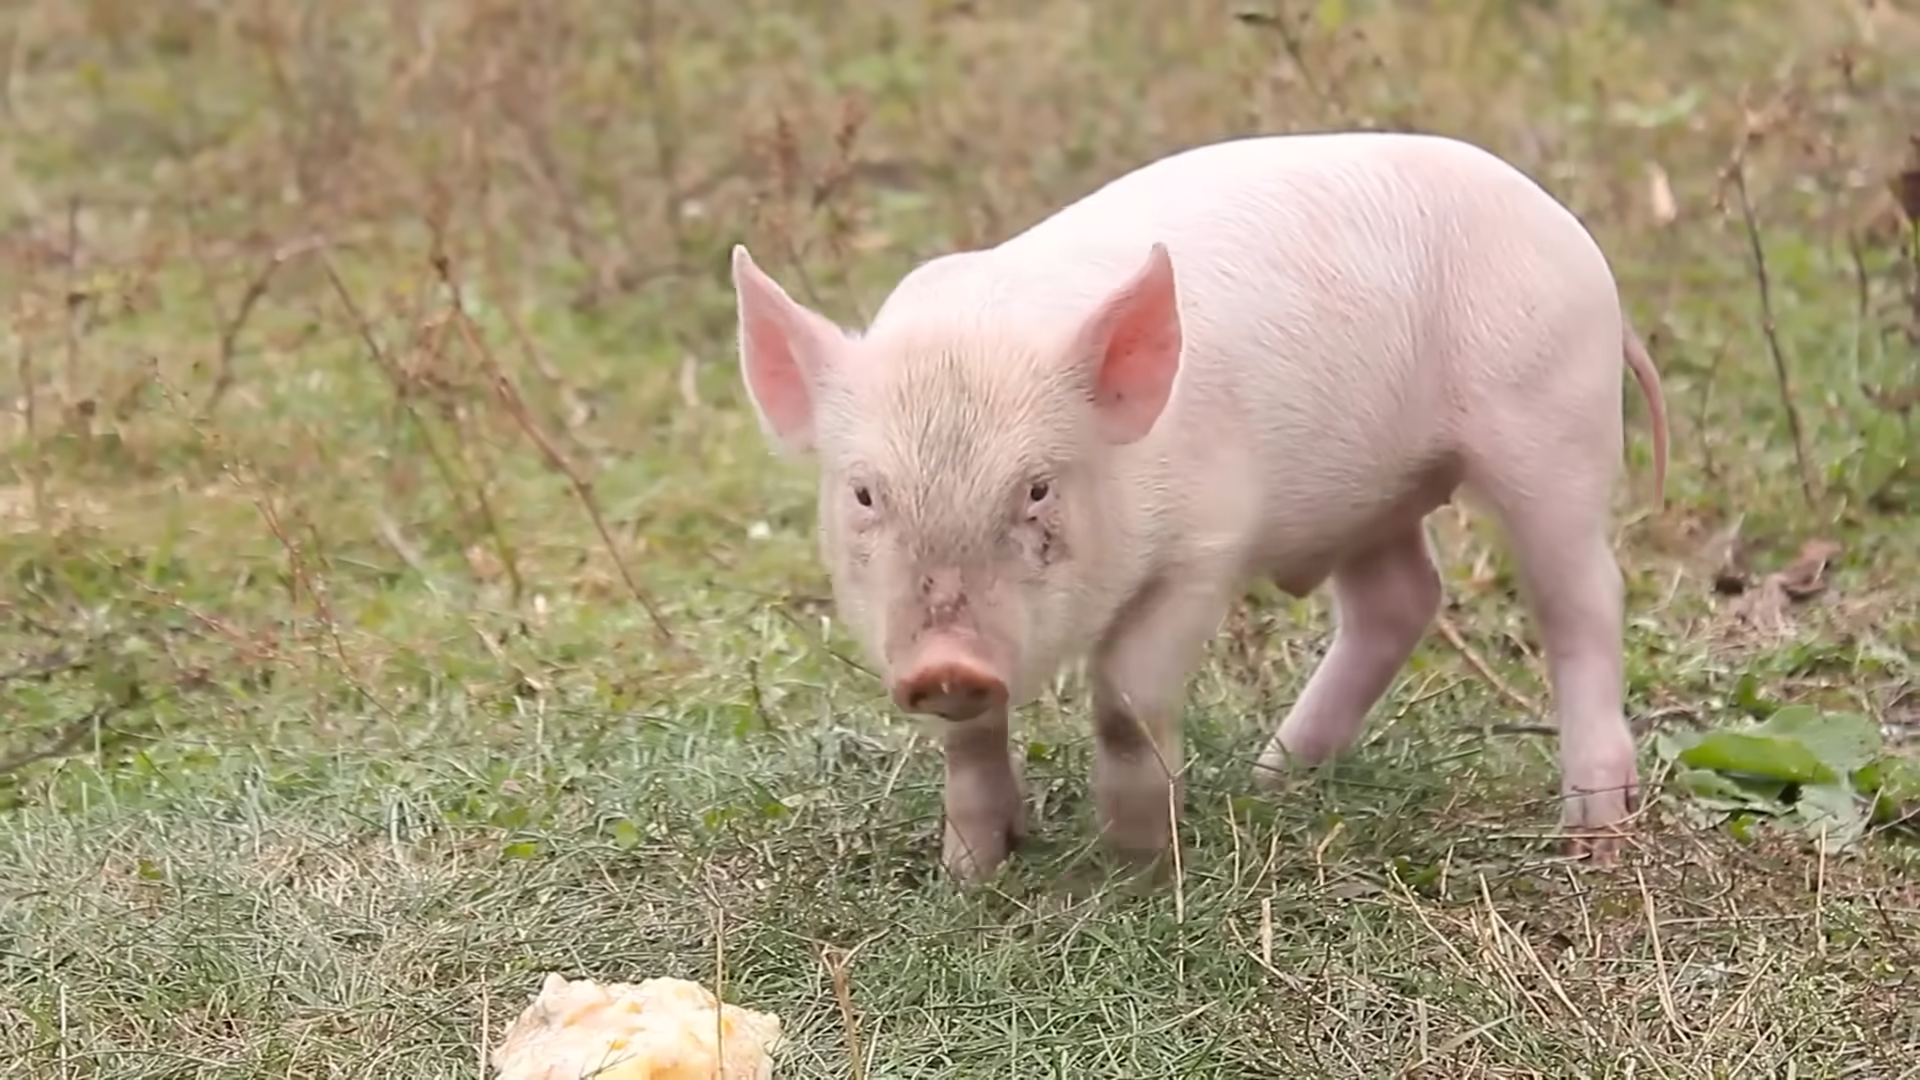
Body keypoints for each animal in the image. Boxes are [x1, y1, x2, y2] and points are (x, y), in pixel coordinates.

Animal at [729, 131, 1670, 883]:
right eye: (865, 492)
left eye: (1037, 487)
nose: (945, 664)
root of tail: (1574, 237)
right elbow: (969, 742)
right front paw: (973, 871)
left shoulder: (1206, 547)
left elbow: (1124, 699)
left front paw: (1138, 861)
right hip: (1371, 496)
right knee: (1400, 599)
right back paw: (1273, 777)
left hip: (1553, 420)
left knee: (1583, 599)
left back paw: (1595, 833)